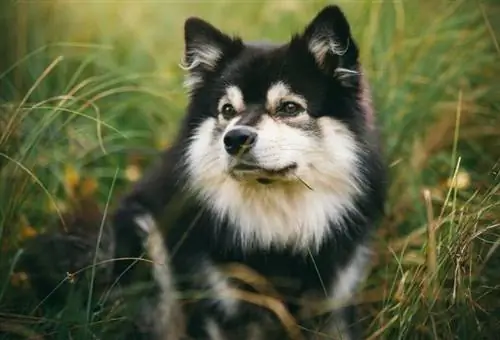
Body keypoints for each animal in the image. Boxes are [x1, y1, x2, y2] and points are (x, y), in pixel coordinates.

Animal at [111, 3, 388, 340]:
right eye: (228, 110)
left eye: (289, 108)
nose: (235, 139)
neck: (279, 231)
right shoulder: (220, 305)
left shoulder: (335, 303)